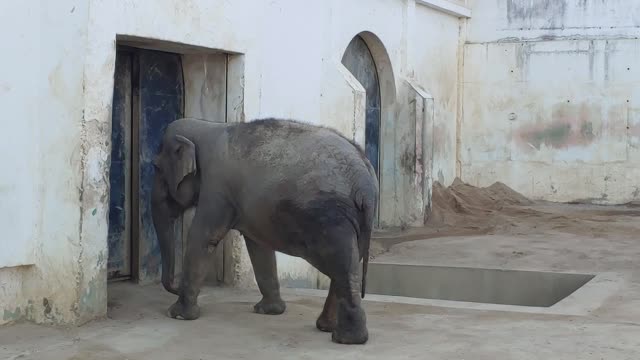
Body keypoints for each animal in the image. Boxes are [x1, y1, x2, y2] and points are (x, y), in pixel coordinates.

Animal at [150, 116, 380, 344]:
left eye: (156, 167)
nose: (174, 287)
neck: (207, 126)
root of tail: (365, 181)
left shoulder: (216, 187)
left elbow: (204, 237)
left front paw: (177, 315)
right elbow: (258, 246)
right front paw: (269, 311)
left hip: (331, 218)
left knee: (342, 266)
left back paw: (346, 339)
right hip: (355, 222)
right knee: (348, 264)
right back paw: (327, 328)